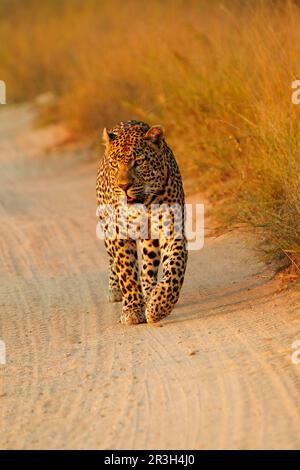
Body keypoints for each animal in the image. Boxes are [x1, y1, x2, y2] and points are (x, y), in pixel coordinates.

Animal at [96, 121, 188, 324]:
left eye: (138, 162)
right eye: (114, 164)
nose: (123, 186)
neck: (145, 203)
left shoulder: (172, 230)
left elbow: (174, 269)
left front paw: (158, 306)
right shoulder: (118, 232)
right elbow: (127, 273)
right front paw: (132, 310)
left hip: (149, 239)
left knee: (148, 267)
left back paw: (149, 293)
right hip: (106, 225)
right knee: (113, 261)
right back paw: (115, 290)